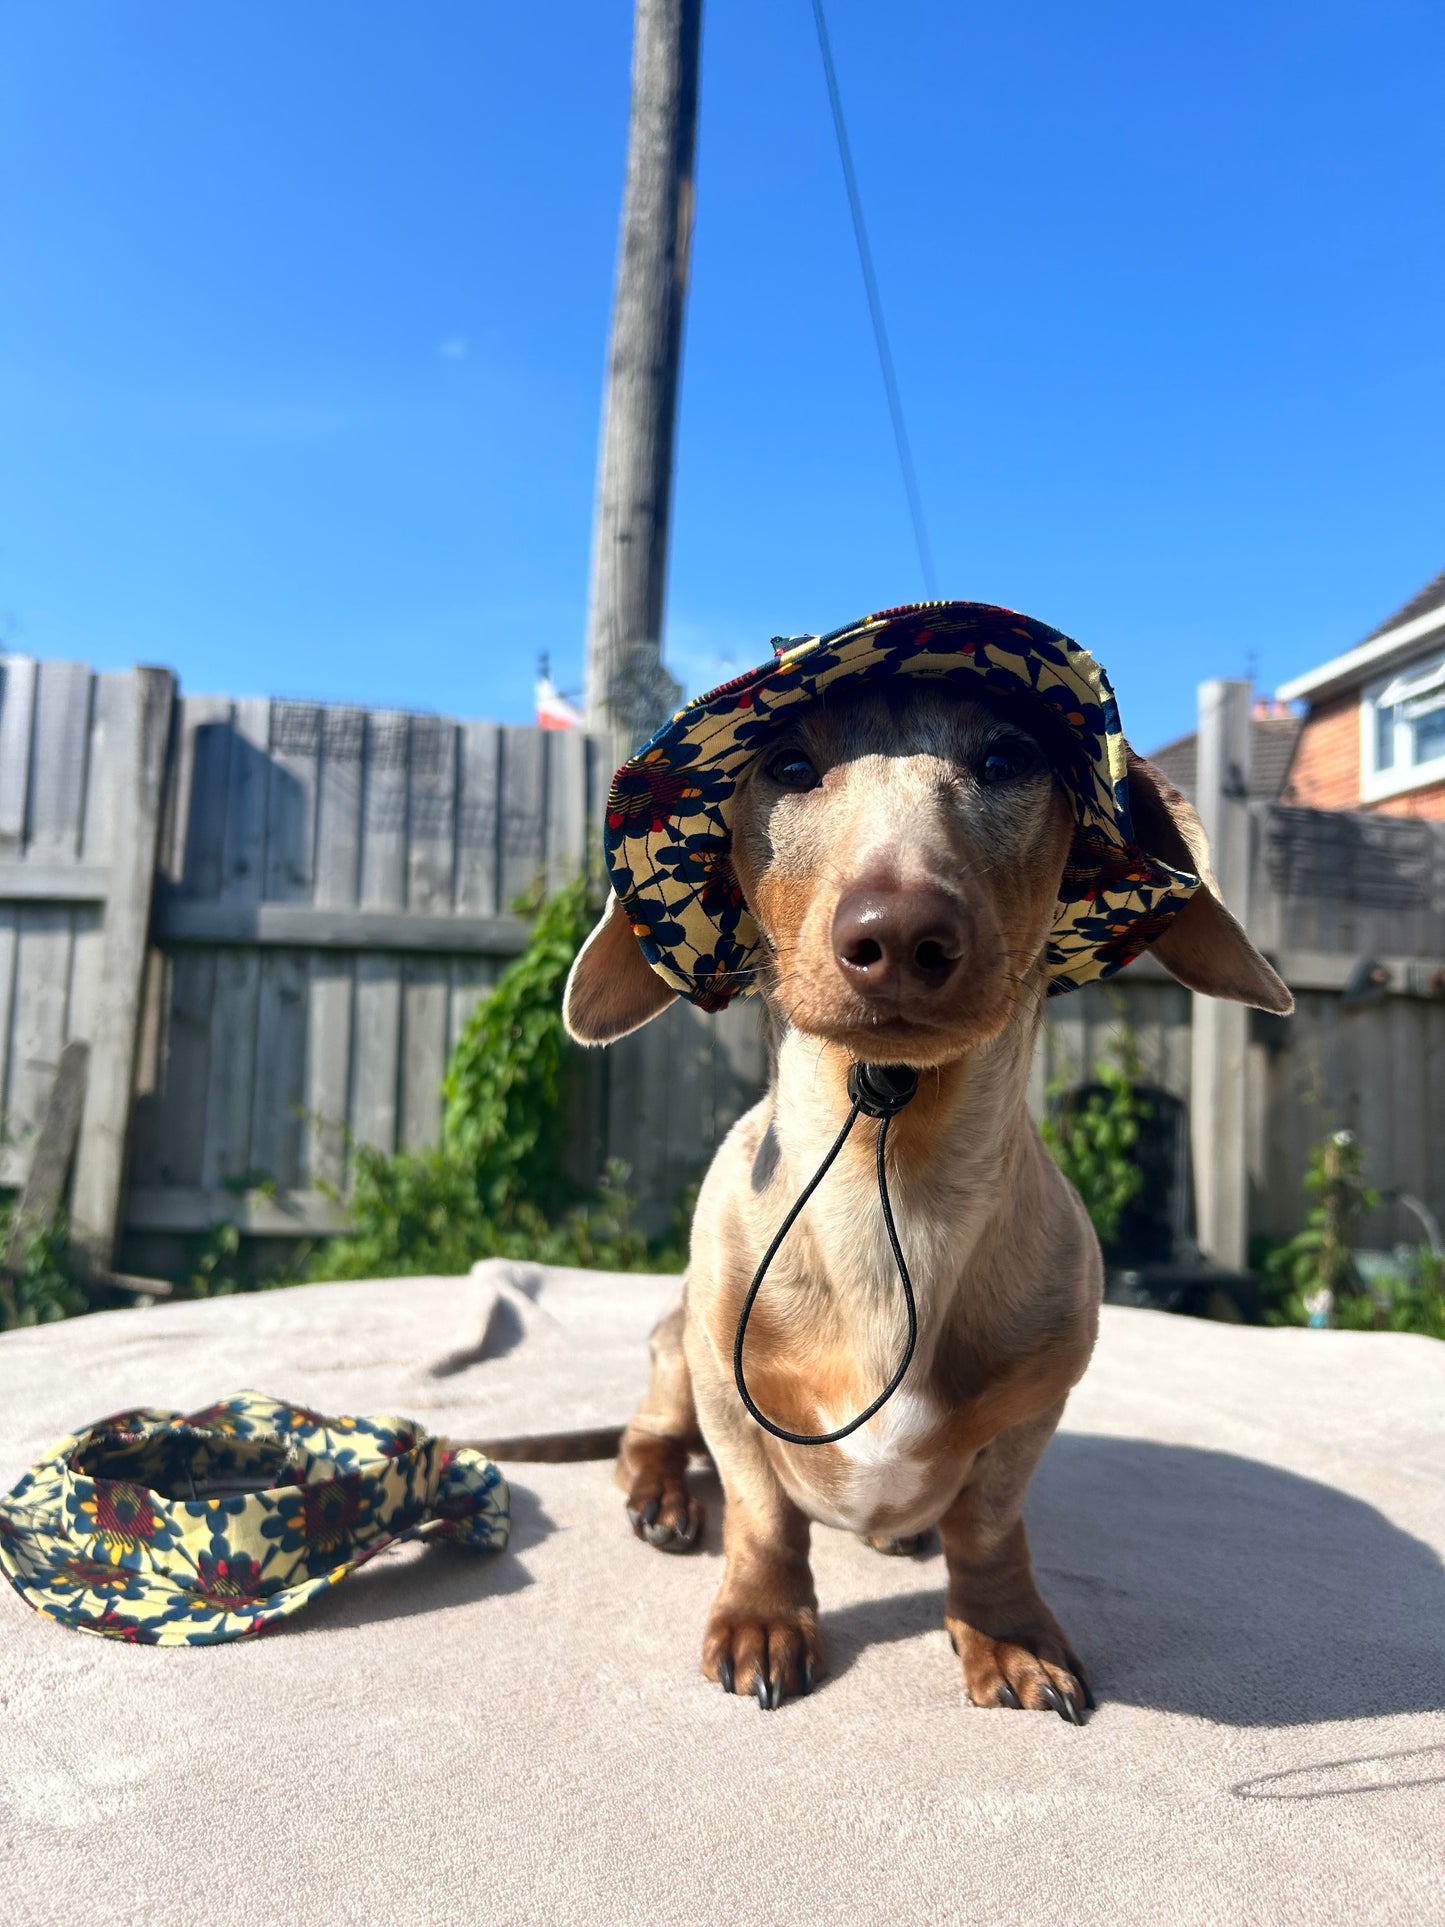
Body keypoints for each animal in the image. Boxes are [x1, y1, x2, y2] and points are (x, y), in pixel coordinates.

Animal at [562, 686, 1287, 1726]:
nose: (898, 936)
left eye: (1007, 758)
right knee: (648, 1436)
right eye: (787, 764)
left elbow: (986, 1529)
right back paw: (660, 1494)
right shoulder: (726, 1390)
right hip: (674, 1349)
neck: (889, 1182)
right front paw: (761, 1617)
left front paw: (1005, 1631)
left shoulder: (1030, 1413)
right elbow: (762, 1514)